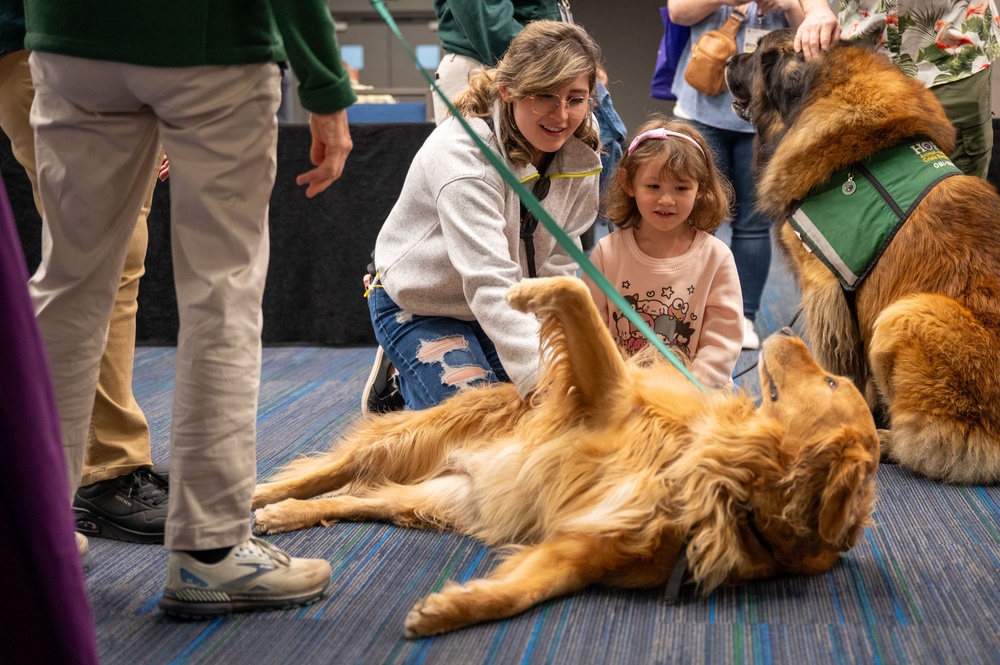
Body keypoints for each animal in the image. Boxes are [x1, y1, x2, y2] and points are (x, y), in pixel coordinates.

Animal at [254, 276, 880, 640]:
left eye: (830, 380)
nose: (788, 333)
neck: (726, 480)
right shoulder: (606, 396)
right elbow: (578, 291)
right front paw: (527, 290)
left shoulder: (586, 546)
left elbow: (522, 592)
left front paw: (454, 609)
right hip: (417, 435)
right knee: (331, 471)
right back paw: (260, 498)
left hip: (443, 498)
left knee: (354, 497)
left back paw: (282, 516)